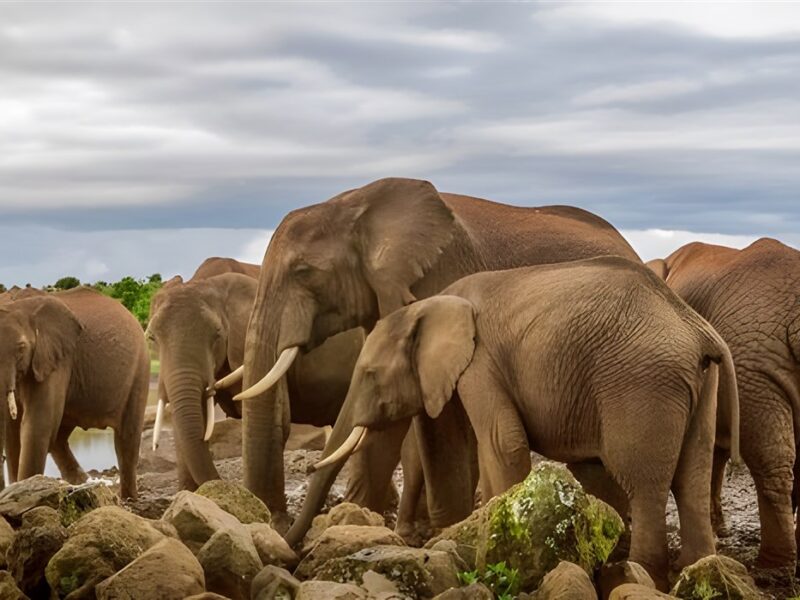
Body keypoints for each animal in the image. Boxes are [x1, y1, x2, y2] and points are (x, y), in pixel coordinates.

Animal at [0, 287, 149, 498]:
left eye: (21, 348)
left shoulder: (57, 360)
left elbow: (38, 424)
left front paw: (23, 489)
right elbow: (13, 429)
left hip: (139, 368)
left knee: (127, 436)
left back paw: (128, 498)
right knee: (59, 437)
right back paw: (83, 483)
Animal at [236, 176, 642, 528]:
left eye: (303, 271)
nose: (275, 520)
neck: (356, 205)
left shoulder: (439, 278)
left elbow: (437, 421)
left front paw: (445, 530)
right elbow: (387, 418)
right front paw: (357, 520)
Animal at [290, 256, 740, 587]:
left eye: (369, 374)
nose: (296, 554)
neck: (431, 304)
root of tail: (699, 330)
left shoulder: (481, 362)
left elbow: (501, 443)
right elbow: (454, 443)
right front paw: (455, 537)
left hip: (642, 382)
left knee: (643, 481)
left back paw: (642, 574)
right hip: (699, 385)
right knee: (692, 478)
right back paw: (697, 569)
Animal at [647, 238, 800, 575]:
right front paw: (720, 531)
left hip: (749, 359)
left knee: (770, 458)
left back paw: (773, 565)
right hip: (753, 361)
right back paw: (780, 563)